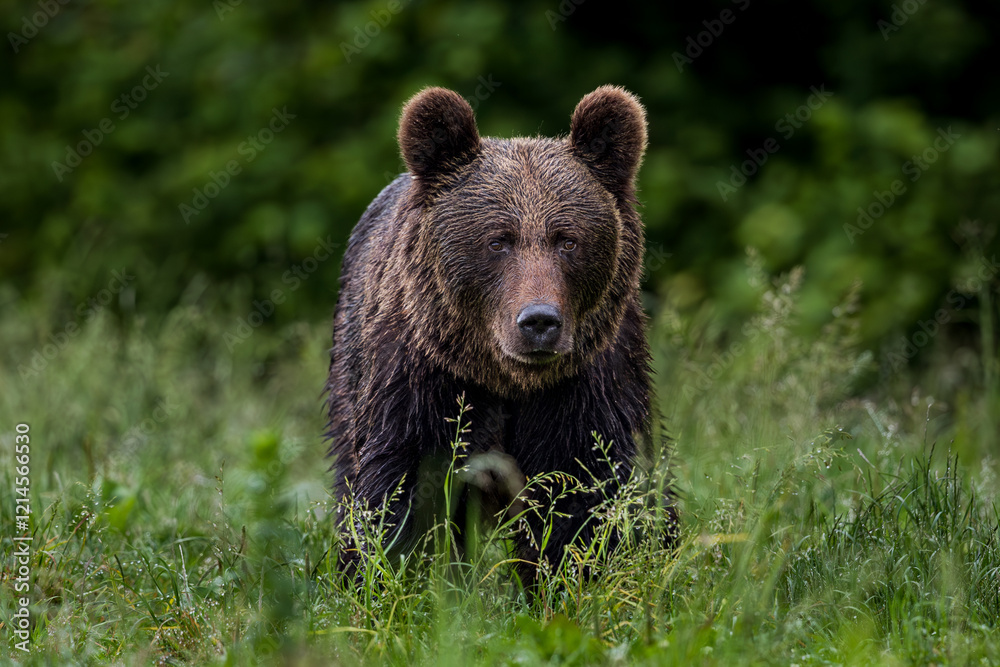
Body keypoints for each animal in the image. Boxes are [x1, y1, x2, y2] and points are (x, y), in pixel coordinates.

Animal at [325, 85, 674, 587]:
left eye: (567, 240)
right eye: (498, 240)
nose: (539, 321)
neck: (508, 379)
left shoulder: (588, 383)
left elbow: (590, 491)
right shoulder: (421, 379)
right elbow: (401, 492)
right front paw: (392, 578)